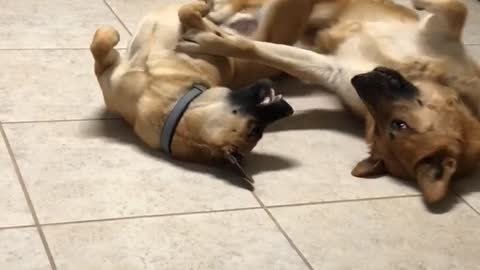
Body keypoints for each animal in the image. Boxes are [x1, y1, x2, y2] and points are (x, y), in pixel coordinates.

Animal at [87, 0, 314, 181]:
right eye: (255, 131)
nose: (288, 108)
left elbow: (187, 13)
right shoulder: (108, 71)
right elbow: (100, 44)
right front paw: (110, 34)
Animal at [176, 0, 480, 202]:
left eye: (398, 125)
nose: (359, 81)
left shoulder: (331, 68)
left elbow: (251, 46)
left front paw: (205, 38)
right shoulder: (441, 26)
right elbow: (455, 6)